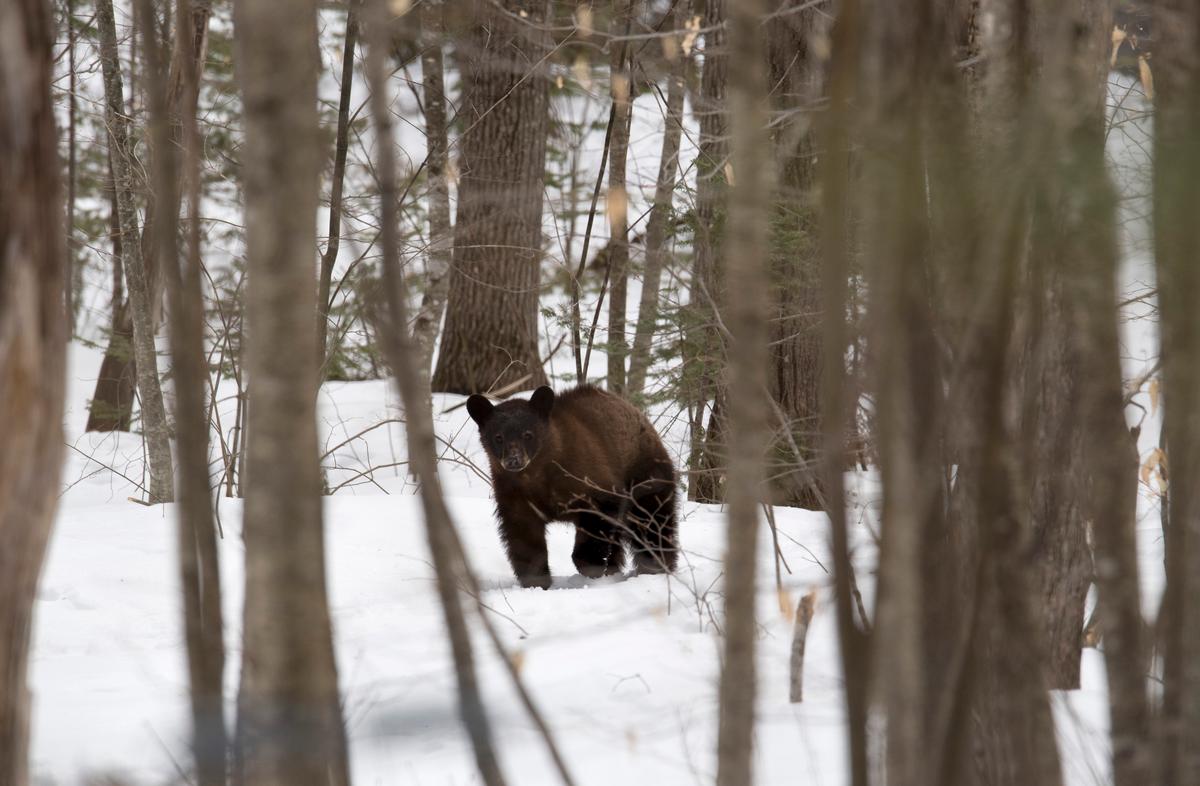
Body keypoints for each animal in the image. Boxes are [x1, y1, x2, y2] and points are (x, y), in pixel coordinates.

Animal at [466, 385, 679, 589]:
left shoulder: (589, 480)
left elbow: (597, 520)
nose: (513, 461)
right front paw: (536, 581)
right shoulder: (515, 496)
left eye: (528, 434)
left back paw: (655, 566)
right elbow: (524, 538)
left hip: (645, 476)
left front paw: (590, 565)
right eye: (498, 437)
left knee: (652, 522)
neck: (538, 475)